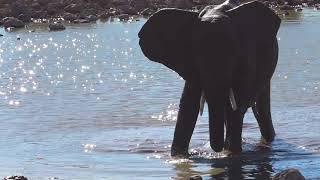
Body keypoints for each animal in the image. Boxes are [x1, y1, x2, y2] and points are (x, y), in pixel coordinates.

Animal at [138, 0, 280, 156]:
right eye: (195, 52)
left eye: (234, 52)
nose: (216, 149)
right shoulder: (190, 65)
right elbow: (188, 107)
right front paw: (179, 156)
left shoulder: (246, 59)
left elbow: (236, 107)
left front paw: (231, 154)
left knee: (261, 107)